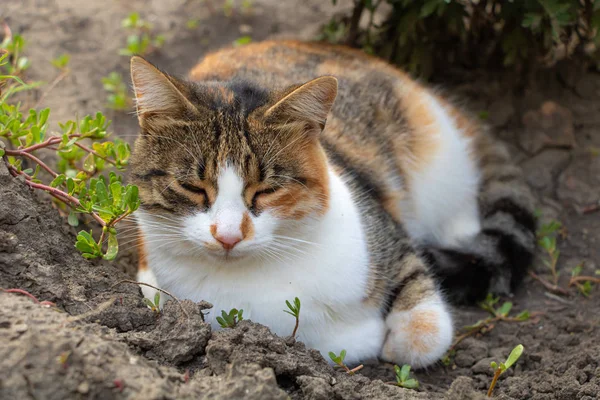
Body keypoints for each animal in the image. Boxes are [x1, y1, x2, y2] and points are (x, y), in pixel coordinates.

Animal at [129, 40, 536, 368]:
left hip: (439, 163)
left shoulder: (386, 232)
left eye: (266, 190)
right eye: (192, 187)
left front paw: (390, 339)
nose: (228, 236)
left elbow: (423, 328)